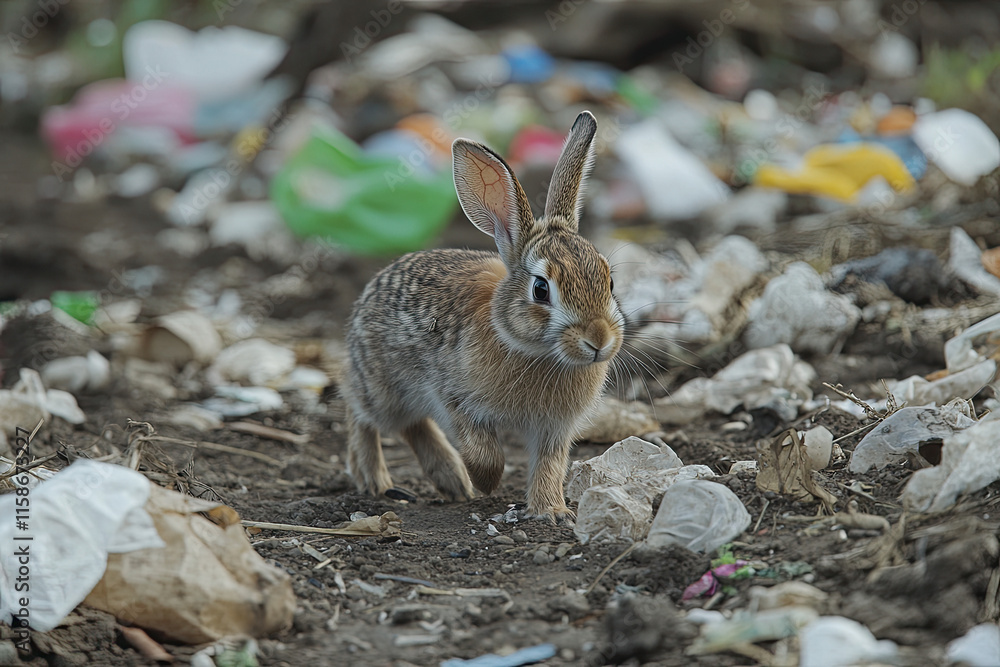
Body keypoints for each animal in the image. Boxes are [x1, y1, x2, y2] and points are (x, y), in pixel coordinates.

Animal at [342, 110, 624, 522]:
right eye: (541, 290)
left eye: (610, 280)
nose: (599, 341)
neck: (536, 353)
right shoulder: (453, 398)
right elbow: (484, 452)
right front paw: (488, 484)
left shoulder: (555, 429)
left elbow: (550, 464)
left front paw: (552, 511)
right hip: (384, 389)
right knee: (360, 412)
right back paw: (376, 480)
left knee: (413, 425)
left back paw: (451, 482)